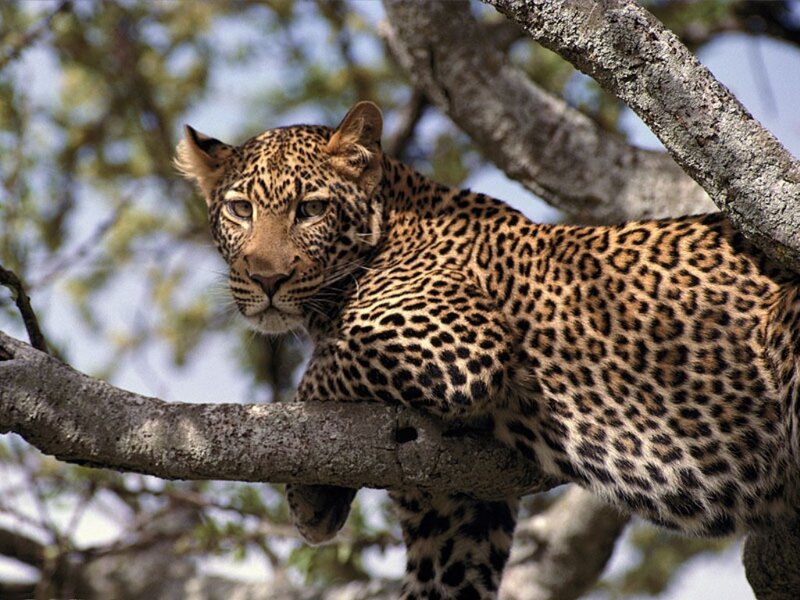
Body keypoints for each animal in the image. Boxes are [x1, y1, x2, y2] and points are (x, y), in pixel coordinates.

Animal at [176, 101, 800, 599]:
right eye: (240, 210)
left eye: (310, 209)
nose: (266, 279)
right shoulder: (455, 506)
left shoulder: (460, 341)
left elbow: (326, 366)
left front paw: (308, 493)